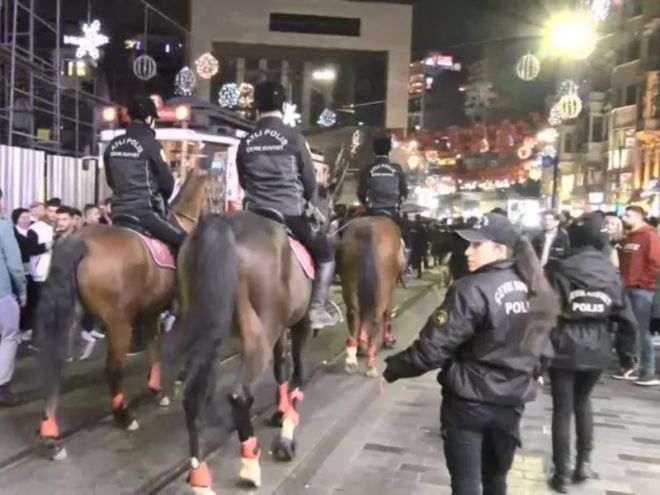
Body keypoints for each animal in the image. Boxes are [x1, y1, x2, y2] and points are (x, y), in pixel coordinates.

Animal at [35, 170, 209, 462]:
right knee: (113, 368)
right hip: (119, 324)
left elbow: (154, 345)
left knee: (54, 366)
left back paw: (51, 437)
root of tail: (80, 242)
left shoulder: (151, 312)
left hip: (71, 318)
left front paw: (156, 389)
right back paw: (124, 416)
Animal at [174, 211, 316, 494]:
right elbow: (298, 371)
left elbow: (280, 367)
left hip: (204, 332)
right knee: (239, 395)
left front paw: (280, 411)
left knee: (192, 398)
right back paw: (250, 466)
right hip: (259, 333)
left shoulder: (280, 330)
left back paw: (200, 481)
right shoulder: (299, 322)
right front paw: (286, 436)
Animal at [338, 216, 404, 376]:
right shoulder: (391, 288)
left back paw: (353, 355)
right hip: (382, 290)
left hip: (349, 282)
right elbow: (388, 314)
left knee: (353, 314)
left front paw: (360, 344)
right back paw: (370, 364)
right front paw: (388, 340)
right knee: (376, 319)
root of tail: (368, 230)